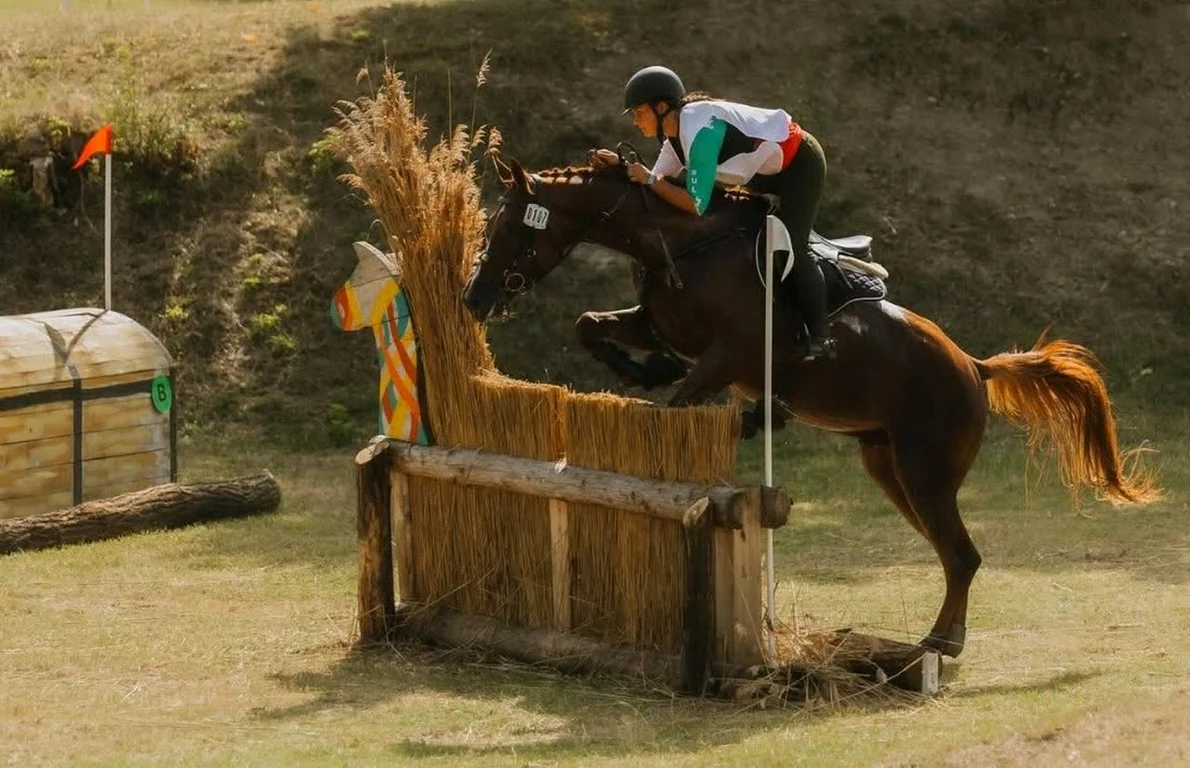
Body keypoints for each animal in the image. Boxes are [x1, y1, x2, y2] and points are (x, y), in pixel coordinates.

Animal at [462, 158, 1159, 657]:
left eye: (510, 228)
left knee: (962, 555)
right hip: (888, 467)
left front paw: (683, 394)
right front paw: (645, 369)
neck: (679, 244)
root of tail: (973, 365)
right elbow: (590, 325)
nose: (474, 298)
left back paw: (940, 643)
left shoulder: (729, 355)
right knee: (952, 553)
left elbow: (676, 405)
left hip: (926, 471)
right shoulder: (661, 324)